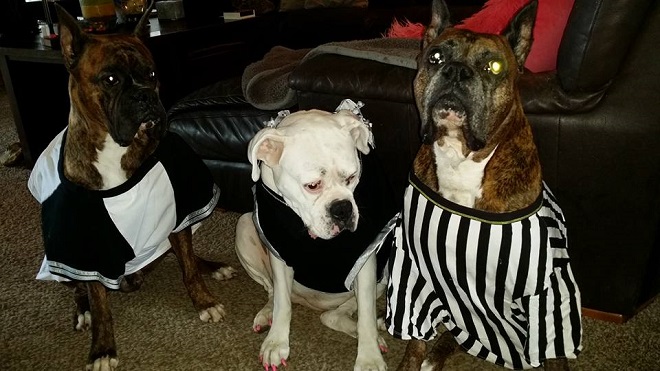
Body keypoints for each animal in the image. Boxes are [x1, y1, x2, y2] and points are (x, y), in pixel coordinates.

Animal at [27, 2, 237, 370]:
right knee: (80, 290)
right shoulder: (85, 246)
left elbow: (188, 267)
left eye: (152, 74)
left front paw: (204, 301)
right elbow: (100, 304)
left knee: (183, 255)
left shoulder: (179, 208)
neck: (115, 147)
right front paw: (102, 349)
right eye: (110, 79)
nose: (144, 96)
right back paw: (82, 312)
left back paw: (213, 267)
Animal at [236, 100, 398, 370]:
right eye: (312, 186)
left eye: (352, 177)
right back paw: (268, 314)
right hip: (244, 225)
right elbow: (282, 303)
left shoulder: (365, 259)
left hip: (386, 268)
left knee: (335, 315)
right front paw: (276, 343)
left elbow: (365, 314)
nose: (342, 209)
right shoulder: (279, 253)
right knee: (274, 292)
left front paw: (369, 358)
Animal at [386, 0, 584, 370]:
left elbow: (553, 341)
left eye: (493, 66)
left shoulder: (546, 290)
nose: (455, 72)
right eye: (435, 57)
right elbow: (415, 338)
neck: (461, 155)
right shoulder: (414, 272)